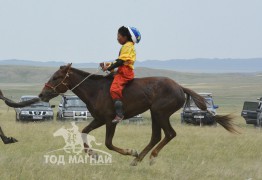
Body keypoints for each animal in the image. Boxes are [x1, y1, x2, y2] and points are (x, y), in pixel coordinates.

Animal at [0, 64, 237, 166]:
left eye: (57, 76)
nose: (42, 94)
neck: (96, 90)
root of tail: (180, 87)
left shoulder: (110, 121)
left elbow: (108, 143)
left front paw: (128, 151)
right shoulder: (97, 119)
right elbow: (84, 132)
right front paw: (92, 155)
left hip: (159, 112)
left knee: (169, 134)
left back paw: (146, 157)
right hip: (156, 113)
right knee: (157, 136)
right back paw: (139, 159)